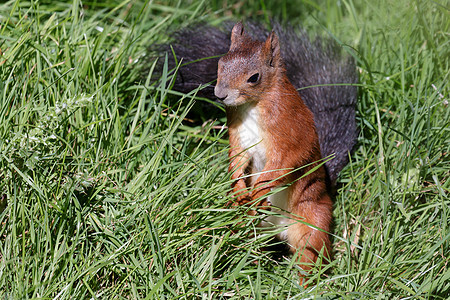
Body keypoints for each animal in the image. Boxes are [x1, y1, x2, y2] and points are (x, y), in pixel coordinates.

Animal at [214, 22, 334, 272]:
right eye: (220, 64)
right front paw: (240, 190)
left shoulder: (290, 132)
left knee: (311, 254)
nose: (220, 95)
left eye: (254, 77)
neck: (252, 105)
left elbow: (285, 163)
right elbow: (237, 159)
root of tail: (279, 231)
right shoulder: (239, 134)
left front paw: (259, 191)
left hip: (312, 224)